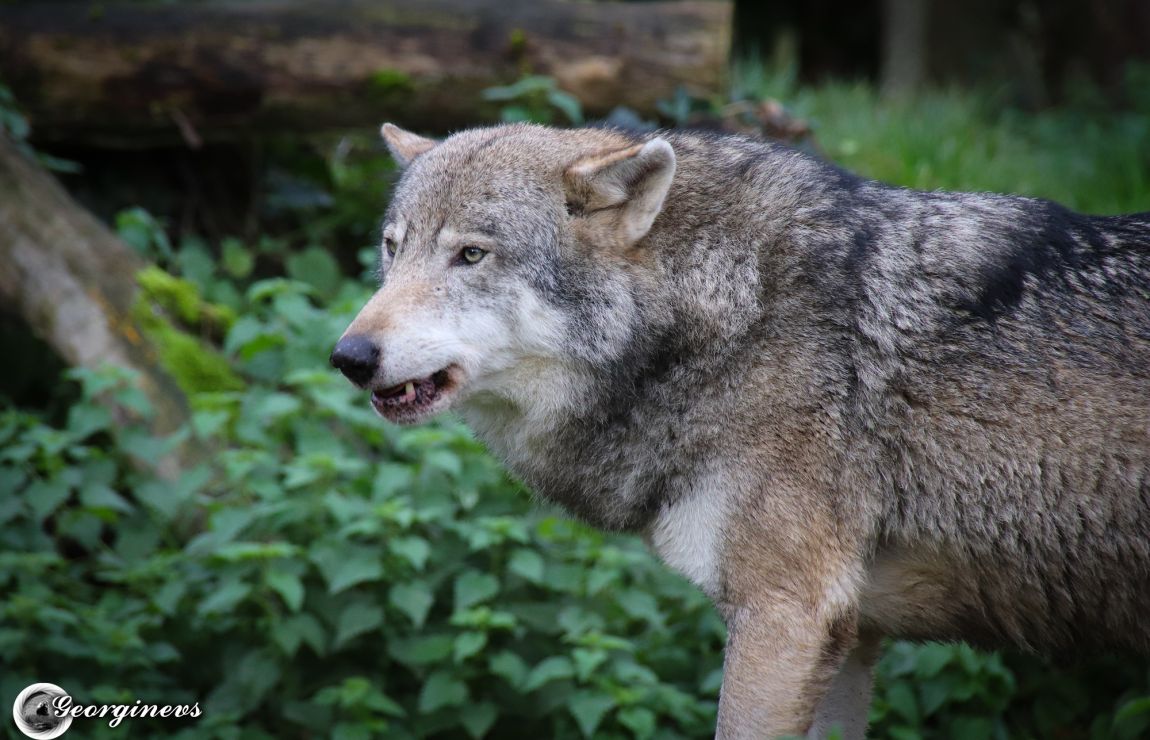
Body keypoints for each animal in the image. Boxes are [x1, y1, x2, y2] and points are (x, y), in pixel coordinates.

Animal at [330, 122, 1150, 738]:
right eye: (392, 248)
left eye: (471, 254)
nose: (348, 356)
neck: (729, 320)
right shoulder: (851, 637)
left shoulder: (784, 616)